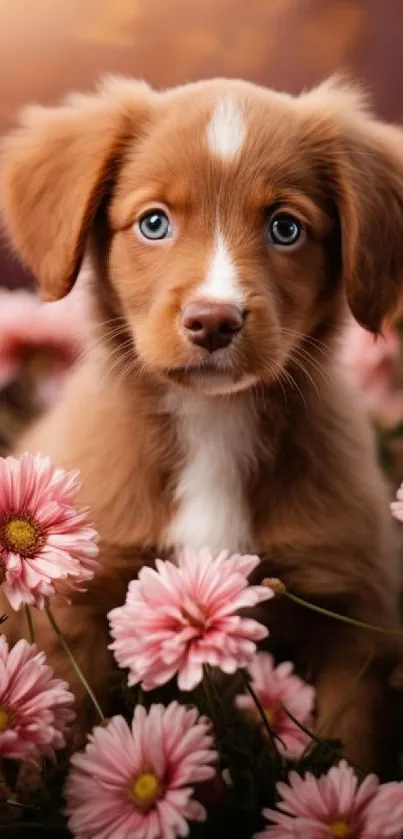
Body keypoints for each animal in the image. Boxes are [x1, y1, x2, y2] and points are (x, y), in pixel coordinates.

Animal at [0, 75, 403, 772]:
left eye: (286, 228)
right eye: (154, 222)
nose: (214, 320)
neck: (214, 421)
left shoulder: (357, 618)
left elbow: (350, 752)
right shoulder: (76, 607)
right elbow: (71, 733)